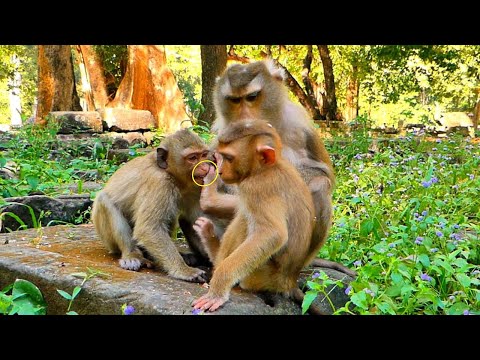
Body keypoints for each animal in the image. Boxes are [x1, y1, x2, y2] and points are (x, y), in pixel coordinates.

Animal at [91, 129, 211, 284]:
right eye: (192, 157)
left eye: (203, 155)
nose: (205, 167)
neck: (170, 173)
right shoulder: (159, 182)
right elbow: (149, 228)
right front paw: (185, 271)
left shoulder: (197, 186)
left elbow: (195, 220)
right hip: (106, 239)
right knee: (104, 200)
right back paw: (132, 255)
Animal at [193, 120, 328, 312]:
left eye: (229, 158)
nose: (221, 171)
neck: (267, 168)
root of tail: (289, 282)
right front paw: (210, 198)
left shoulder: (256, 188)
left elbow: (272, 234)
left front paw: (218, 288)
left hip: (260, 275)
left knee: (245, 219)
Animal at [196, 59, 356, 278]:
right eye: (235, 100)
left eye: (252, 97)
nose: (245, 117)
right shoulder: (222, 134)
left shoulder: (299, 124)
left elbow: (324, 174)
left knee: (320, 185)